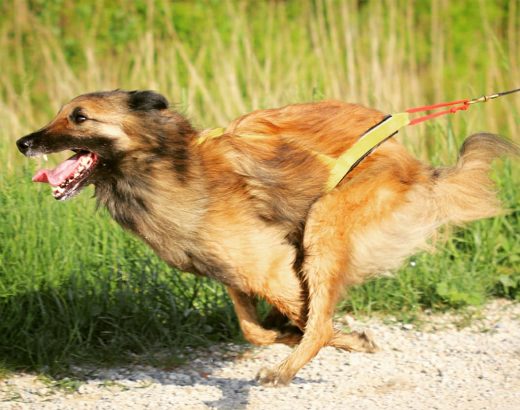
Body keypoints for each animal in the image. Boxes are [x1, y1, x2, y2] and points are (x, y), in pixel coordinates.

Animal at [15, 89, 516, 384]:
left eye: (79, 117)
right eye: (60, 114)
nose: (23, 143)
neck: (167, 167)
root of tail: (413, 164)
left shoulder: (269, 264)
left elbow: (315, 321)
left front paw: (342, 339)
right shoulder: (231, 271)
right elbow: (253, 329)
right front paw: (285, 333)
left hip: (324, 223)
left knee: (320, 319)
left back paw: (285, 371)